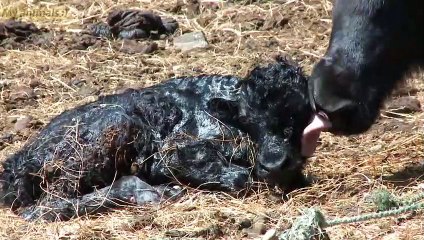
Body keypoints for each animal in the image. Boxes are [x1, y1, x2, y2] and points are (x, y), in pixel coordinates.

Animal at [0, 57, 312, 221]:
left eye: (300, 113)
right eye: (248, 119)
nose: (274, 164)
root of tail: (14, 164)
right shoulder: (172, 154)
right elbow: (240, 177)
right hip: (107, 131)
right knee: (42, 207)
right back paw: (152, 192)